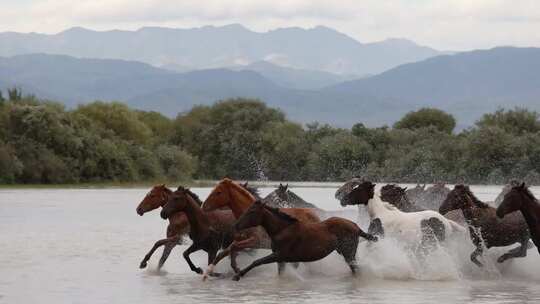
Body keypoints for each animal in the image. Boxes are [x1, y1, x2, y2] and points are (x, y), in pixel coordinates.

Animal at [230, 201, 378, 282]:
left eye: (252, 211)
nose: (236, 225)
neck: (282, 230)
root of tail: (356, 226)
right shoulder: (281, 259)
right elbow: (280, 274)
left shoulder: (279, 255)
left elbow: (257, 262)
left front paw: (238, 275)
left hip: (348, 253)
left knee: (356, 269)